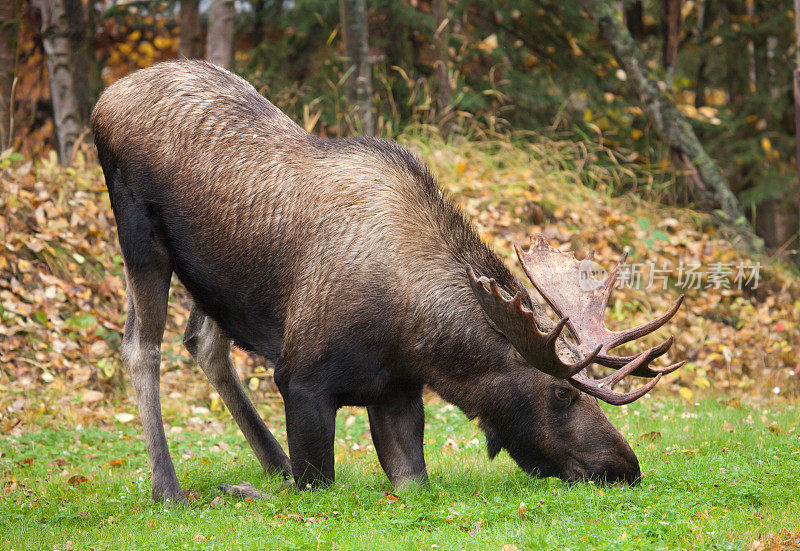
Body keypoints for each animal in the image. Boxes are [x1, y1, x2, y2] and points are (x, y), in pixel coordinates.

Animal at [90, 60, 684, 504]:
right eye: (562, 392)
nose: (624, 466)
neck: (415, 337)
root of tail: (103, 101)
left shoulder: (397, 393)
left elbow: (412, 481)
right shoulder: (301, 381)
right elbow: (317, 484)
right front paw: (240, 490)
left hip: (210, 275)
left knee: (204, 341)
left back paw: (271, 460)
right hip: (139, 234)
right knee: (142, 346)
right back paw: (169, 488)